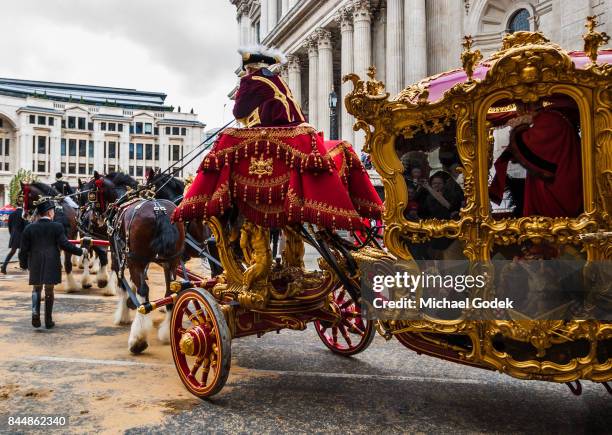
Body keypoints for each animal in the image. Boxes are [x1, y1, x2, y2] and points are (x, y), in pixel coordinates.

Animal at [88, 172, 184, 356]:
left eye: (91, 192)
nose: (91, 218)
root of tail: (159, 212)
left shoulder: (119, 256)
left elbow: (123, 284)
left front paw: (123, 313)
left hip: (136, 259)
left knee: (144, 293)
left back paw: (137, 339)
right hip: (172, 262)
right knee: (171, 292)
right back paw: (166, 333)